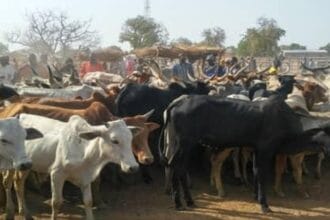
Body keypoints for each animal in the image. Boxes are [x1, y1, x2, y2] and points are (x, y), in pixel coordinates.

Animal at [4, 114, 141, 220]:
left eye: (130, 139)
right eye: (114, 140)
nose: (133, 167)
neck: (85, 150)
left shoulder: (86, 178)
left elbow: (88, 202)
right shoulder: (56, 174)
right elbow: (56, 202)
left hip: (26, 166)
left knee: (18, 183)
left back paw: (24, 212)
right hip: (10, 165)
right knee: (7, 183)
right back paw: (10, 212)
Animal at [160, 94, 330, 213]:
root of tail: (179, 101)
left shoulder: (256, 149)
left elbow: (255, 172)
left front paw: (256, 196)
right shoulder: (265, 149)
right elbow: (261, 173)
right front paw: (264, 204)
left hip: (182, 144)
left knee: (179, 167)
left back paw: (188, 201)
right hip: (185, 143)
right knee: (175, 165)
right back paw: (178, 203)